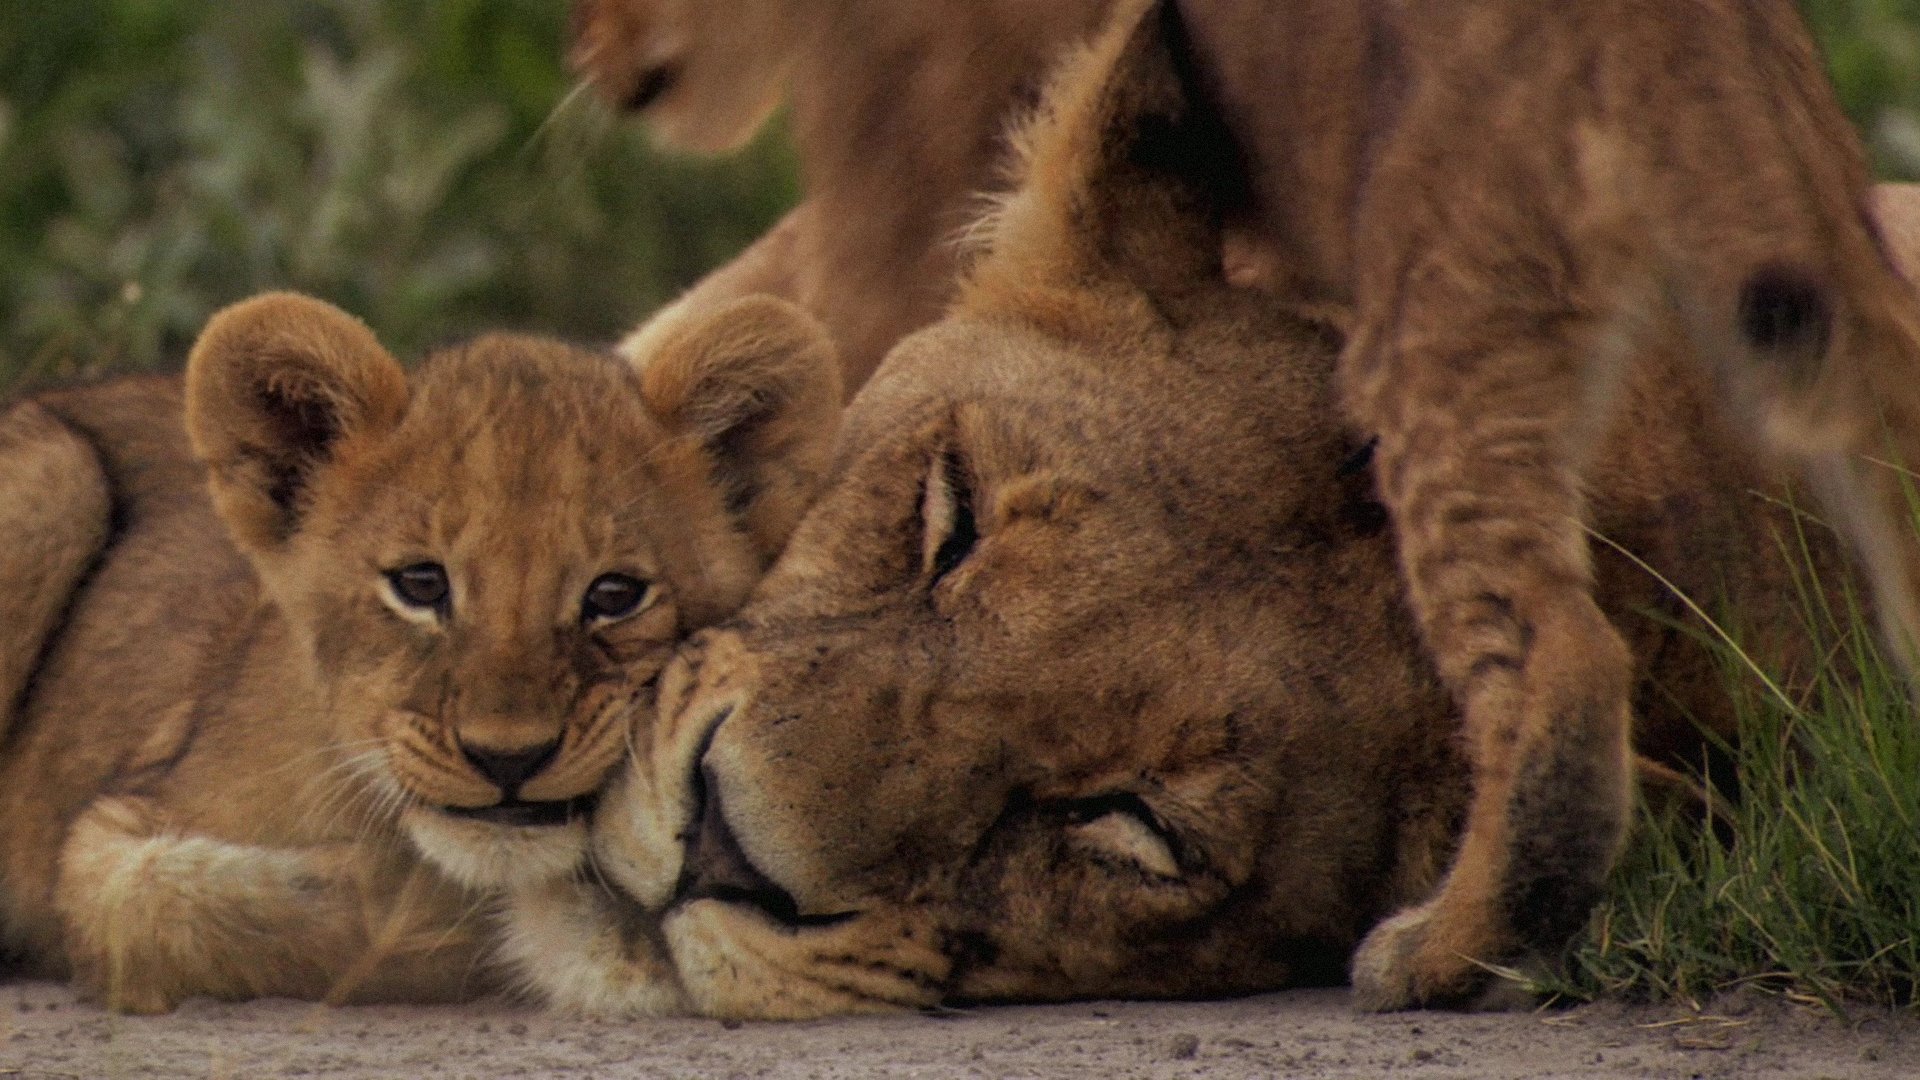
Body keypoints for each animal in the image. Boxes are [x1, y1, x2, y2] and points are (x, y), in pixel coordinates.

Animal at [0, 290, 837, 1013]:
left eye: (615, 594)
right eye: (421, 584)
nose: (508, 758)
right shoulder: (109, 835)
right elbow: (172, 902)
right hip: (53, 474)